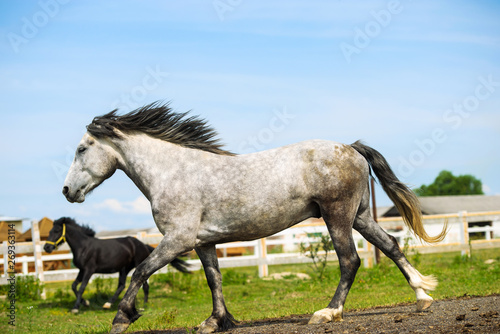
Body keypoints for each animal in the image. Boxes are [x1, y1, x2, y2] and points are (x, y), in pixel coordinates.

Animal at [44, 217, 189, 314]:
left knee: (144, 286)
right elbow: (74, 286)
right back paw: (108, 304)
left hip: (136, 265)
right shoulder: (81, 270)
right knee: (122, 285)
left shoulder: (89, 270)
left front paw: (75, 308)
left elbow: (81, 288)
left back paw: (143, 305)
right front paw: (85, 303)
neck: (83, 247)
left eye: (56, 230)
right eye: (49, 231)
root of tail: (142, 244)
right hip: (124, 269)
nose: (46, 248)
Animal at [62, 102, 450, 334]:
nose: (67, 191)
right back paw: (422, 295)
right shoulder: (204, 242)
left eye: (81, 149)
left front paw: (121, 318)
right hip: (360, 216)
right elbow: (214, 280)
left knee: (350, 260)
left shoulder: (178, 240)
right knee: (391, 244)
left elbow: (140, 272)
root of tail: (351, 148)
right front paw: (216, 321)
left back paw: (327, 313)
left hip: (337, 215)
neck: (173, 173)